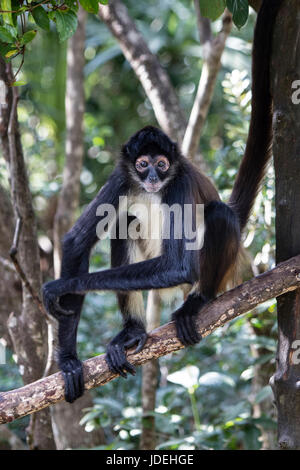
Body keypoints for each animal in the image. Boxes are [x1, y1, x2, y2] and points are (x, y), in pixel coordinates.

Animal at [42, 0, 284, 404]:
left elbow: (175, 264)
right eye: (143, 164)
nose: (153, 178)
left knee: (216, 217)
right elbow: (76, 242)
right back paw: (135, 330)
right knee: (123, 223)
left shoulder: (180, 181)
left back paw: (199, 301)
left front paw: (61, 286)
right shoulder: (123, 177)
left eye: (162, 164)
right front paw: (69, 360)